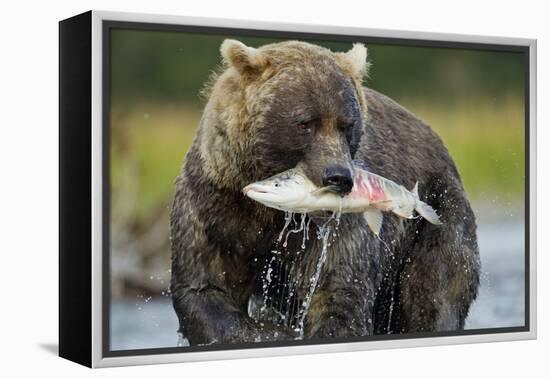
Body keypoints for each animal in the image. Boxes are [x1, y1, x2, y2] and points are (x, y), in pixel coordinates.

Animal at [170, 39, 480, 346]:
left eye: (348, 124)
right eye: (305, 123)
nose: (339, 177)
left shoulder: (335, 228)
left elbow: (338, 292)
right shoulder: (215, 206)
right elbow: (205, 288)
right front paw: (273, 331)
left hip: (436, 212)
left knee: (435, 289)